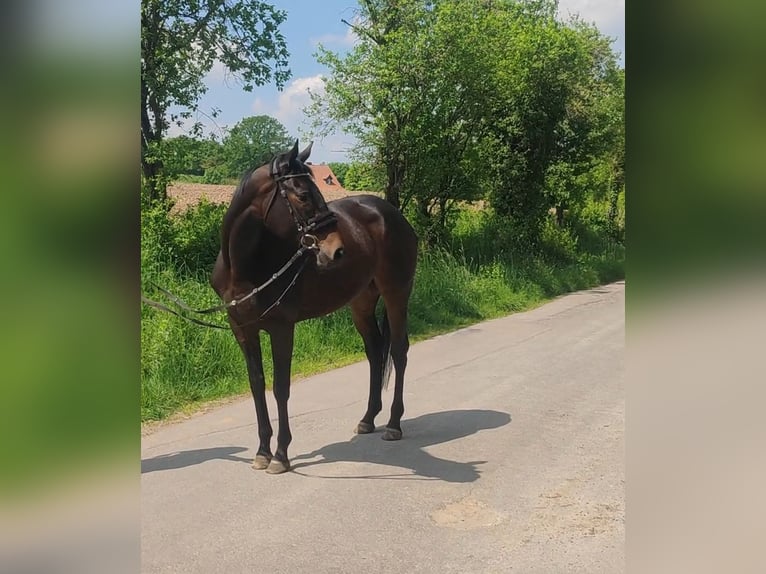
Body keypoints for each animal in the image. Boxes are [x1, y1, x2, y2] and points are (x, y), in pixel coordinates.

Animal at [212, 142, 420, 474]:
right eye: (303, 195)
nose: (337, 250)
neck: (245, 267)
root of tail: (393, 214)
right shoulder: (242, 329)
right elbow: (257, 385)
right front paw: (262, 451)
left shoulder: (282, 328)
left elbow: (280, 387)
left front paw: (280, 455)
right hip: (361, 302)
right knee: (375, 351)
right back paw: (368, 419)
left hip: (396, 294)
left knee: (399, 351)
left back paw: (393, 424)